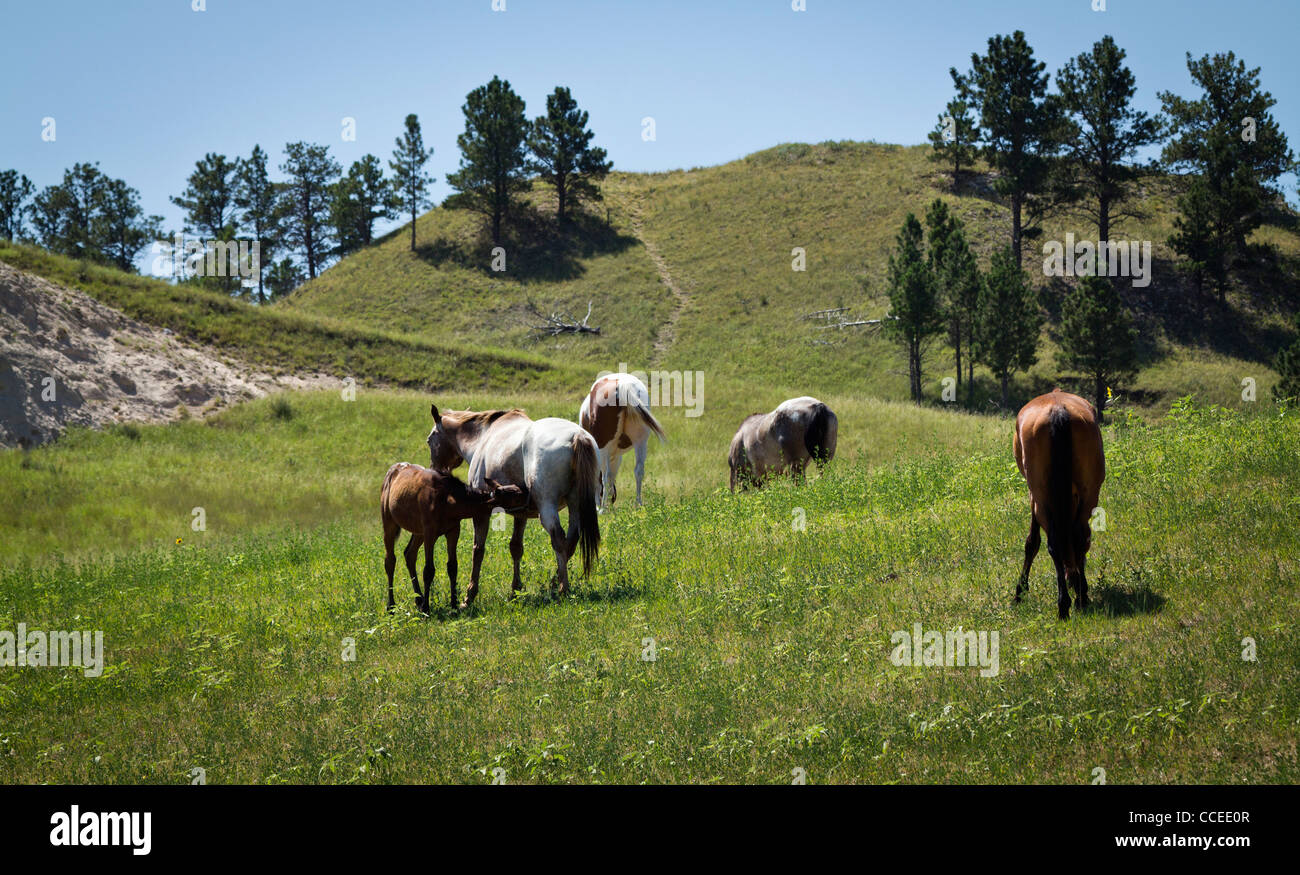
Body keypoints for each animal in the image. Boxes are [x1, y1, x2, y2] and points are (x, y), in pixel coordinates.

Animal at [379, 460, 527, 611]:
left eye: (516, 489)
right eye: (516, 495)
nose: (527, 493)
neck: (450, 502)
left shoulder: (453, 530)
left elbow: (452, 566)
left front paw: (454, 604)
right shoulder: (430, 532)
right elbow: (428, 570)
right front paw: (427, 608)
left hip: (417, 531)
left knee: (409, 554)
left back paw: (418, 599)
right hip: (389, 521)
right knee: (390, 560)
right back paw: (392, 605)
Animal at [431, 405, 603, 603]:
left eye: (430, 440)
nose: (435, 471)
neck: (483, 436)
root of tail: (577, 436)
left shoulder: (481, 512)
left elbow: (478, 551)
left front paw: (470, 595)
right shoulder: (521, 514)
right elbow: (516, 548)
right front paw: (515, 590)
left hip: (548, 508)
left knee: (559, 539)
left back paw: (562, 588)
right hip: (576, 504)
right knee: (571, 541)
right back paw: (555, 583)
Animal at [582, 371, 670, 509]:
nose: (613, 499)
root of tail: (623, 385)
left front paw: (599, 505)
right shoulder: (617, 456)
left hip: (603, 446)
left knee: (606, 476)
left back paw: (603, 509)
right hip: (641, 442)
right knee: (639, 471)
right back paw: (638, 505)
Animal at [1013, 384, 1107, 618]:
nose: (1071, 577)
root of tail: (1058, 411)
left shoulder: (1033, 497)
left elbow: (1032, 542)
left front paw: (1020, 590)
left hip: (1041, 494)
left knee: (1056, 542)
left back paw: (1065, 603)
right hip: (1089, 492)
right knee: (1079, 536)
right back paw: (1080, 597)